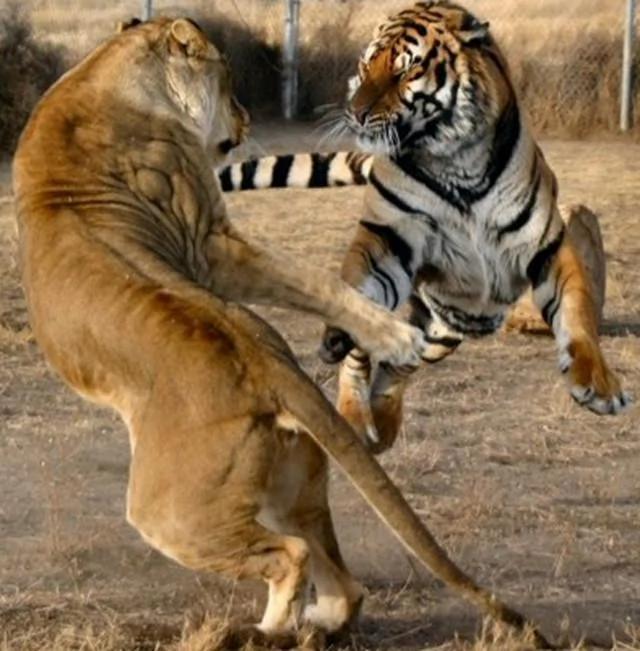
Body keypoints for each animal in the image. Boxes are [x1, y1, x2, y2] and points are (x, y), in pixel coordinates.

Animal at [217, 0, 630, 453]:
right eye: (366, 66)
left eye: (403, 71)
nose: (356, 114)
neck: (457, 161)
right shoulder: (389, 240)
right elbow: (359, 296)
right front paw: (339, 337)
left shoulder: (546, 244)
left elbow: (578, 312)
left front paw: (600, 386)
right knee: (364, 358)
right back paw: (356, 418)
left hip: (445, 330)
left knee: (398, 366)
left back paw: (383, 426)